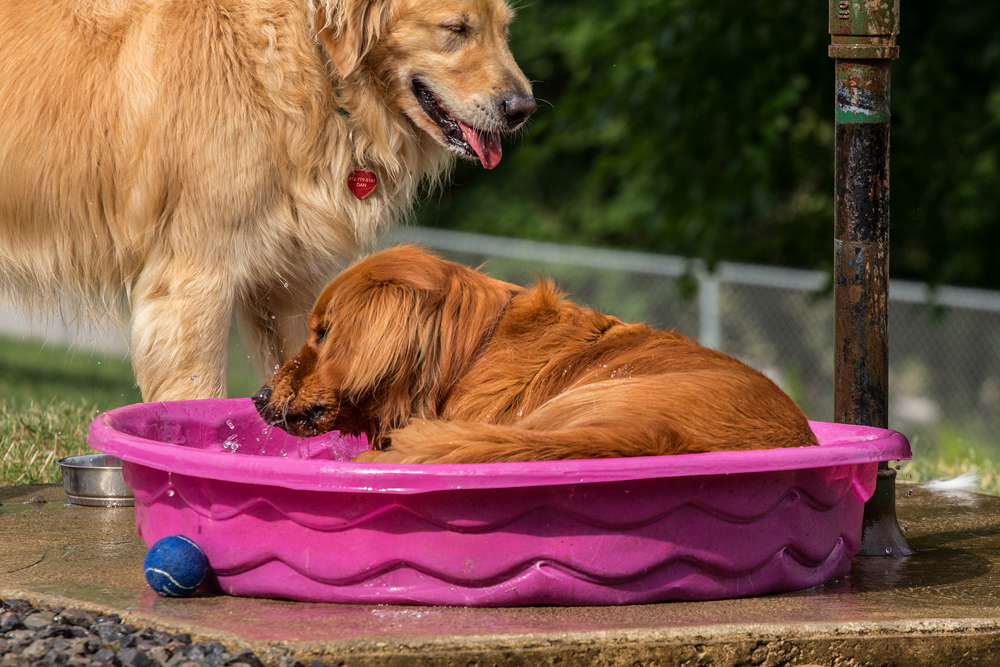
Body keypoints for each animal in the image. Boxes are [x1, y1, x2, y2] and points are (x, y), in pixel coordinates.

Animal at [0, 0, 532, 400]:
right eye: (456, 29)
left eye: (505, 29)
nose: (523, 108)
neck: (313, 67)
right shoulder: (193, 278)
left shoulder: (287, 281)